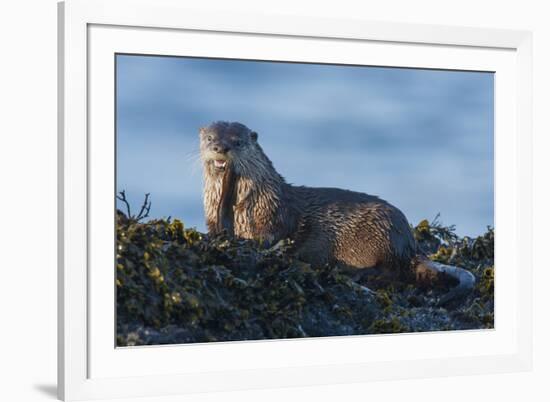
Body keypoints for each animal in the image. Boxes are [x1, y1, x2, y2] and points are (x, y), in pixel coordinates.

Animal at [201, 121, 476, 304]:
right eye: (210, 139)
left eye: (238, 142)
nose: (221, 148)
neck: (249, 204)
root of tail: (410, 244)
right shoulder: (213, 218)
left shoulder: (275, 216)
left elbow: (272, 237)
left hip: (384, 234)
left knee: (393, 272)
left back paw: (355, 273)